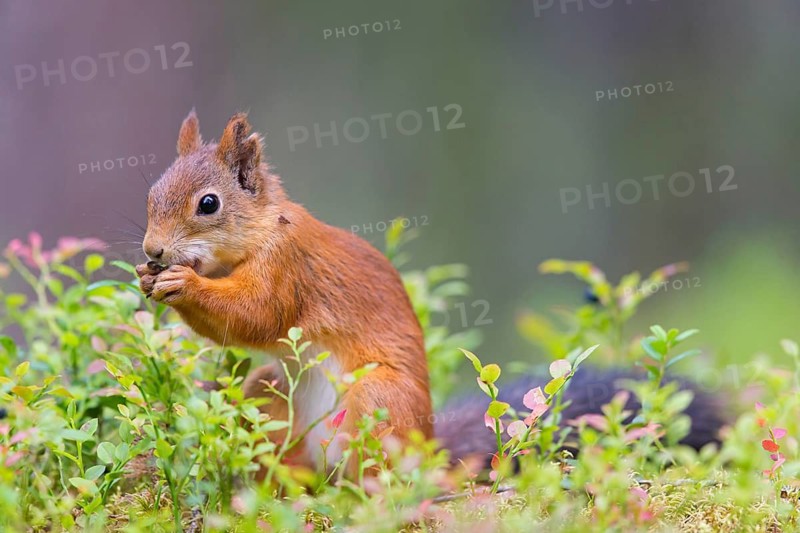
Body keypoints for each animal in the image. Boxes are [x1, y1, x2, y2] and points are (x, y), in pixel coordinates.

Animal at [136, 111, 725, 474]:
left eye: (208, 204)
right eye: (151, 193)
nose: (152, 249)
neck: (258, 233)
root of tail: (429, 448)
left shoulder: (288, 268)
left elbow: (255, 314)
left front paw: (183, 283)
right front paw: (149, 278)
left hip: (378, 401)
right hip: (268, 391)